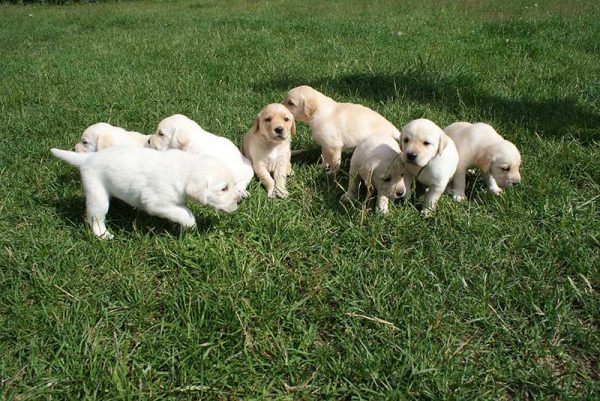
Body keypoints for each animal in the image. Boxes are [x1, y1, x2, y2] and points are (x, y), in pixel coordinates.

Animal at [49, 147, 241, 241]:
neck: (185, 170)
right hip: (97, 194)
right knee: (95, 218)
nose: (239, 201)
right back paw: (103, 235)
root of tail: (87, 158)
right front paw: (190, 225)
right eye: (224, 189)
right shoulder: (156, 203)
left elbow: (182, 210)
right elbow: (185, 212)